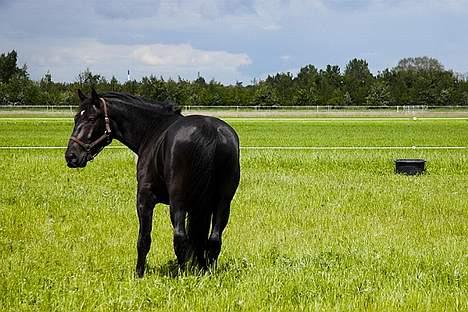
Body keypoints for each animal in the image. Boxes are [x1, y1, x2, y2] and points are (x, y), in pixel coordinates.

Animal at [65, 89, 241, 276]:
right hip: (222, 203)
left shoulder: (145, 199)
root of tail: (208, 131)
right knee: (214, 239)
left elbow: (144, 239)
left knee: (180, 237)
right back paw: (206, 272)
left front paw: (139, 274)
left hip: (179, 203)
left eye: (91, 118)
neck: (152, 130)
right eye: (76, 118)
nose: (71, 156)